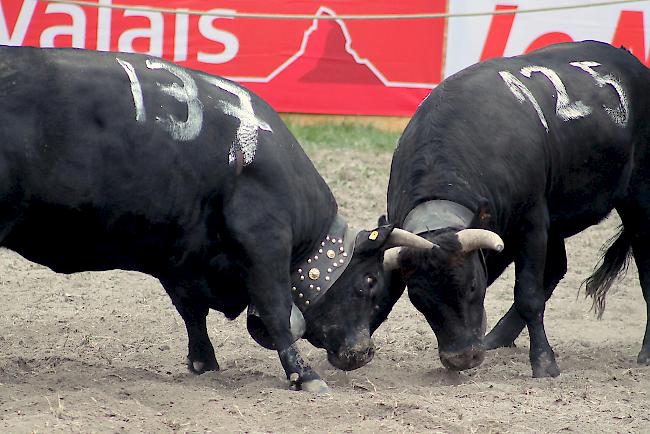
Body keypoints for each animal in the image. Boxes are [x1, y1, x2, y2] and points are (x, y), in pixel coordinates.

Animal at [0, 46, 430, 394]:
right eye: (369, 282)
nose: (364, 352)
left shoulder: (180, 258)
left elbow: (192, 311)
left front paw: (204, 363)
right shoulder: (264, 238)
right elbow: (277, 311)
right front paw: (304, 376)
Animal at [372, 40, 648, 378]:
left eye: (472, 286)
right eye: (418, 299)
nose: (460, 358)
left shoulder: (531, 224)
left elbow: (528, 293)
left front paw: (544, 362)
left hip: (640, 201)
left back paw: (646, 351)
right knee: (556, 268)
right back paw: (499, 336)